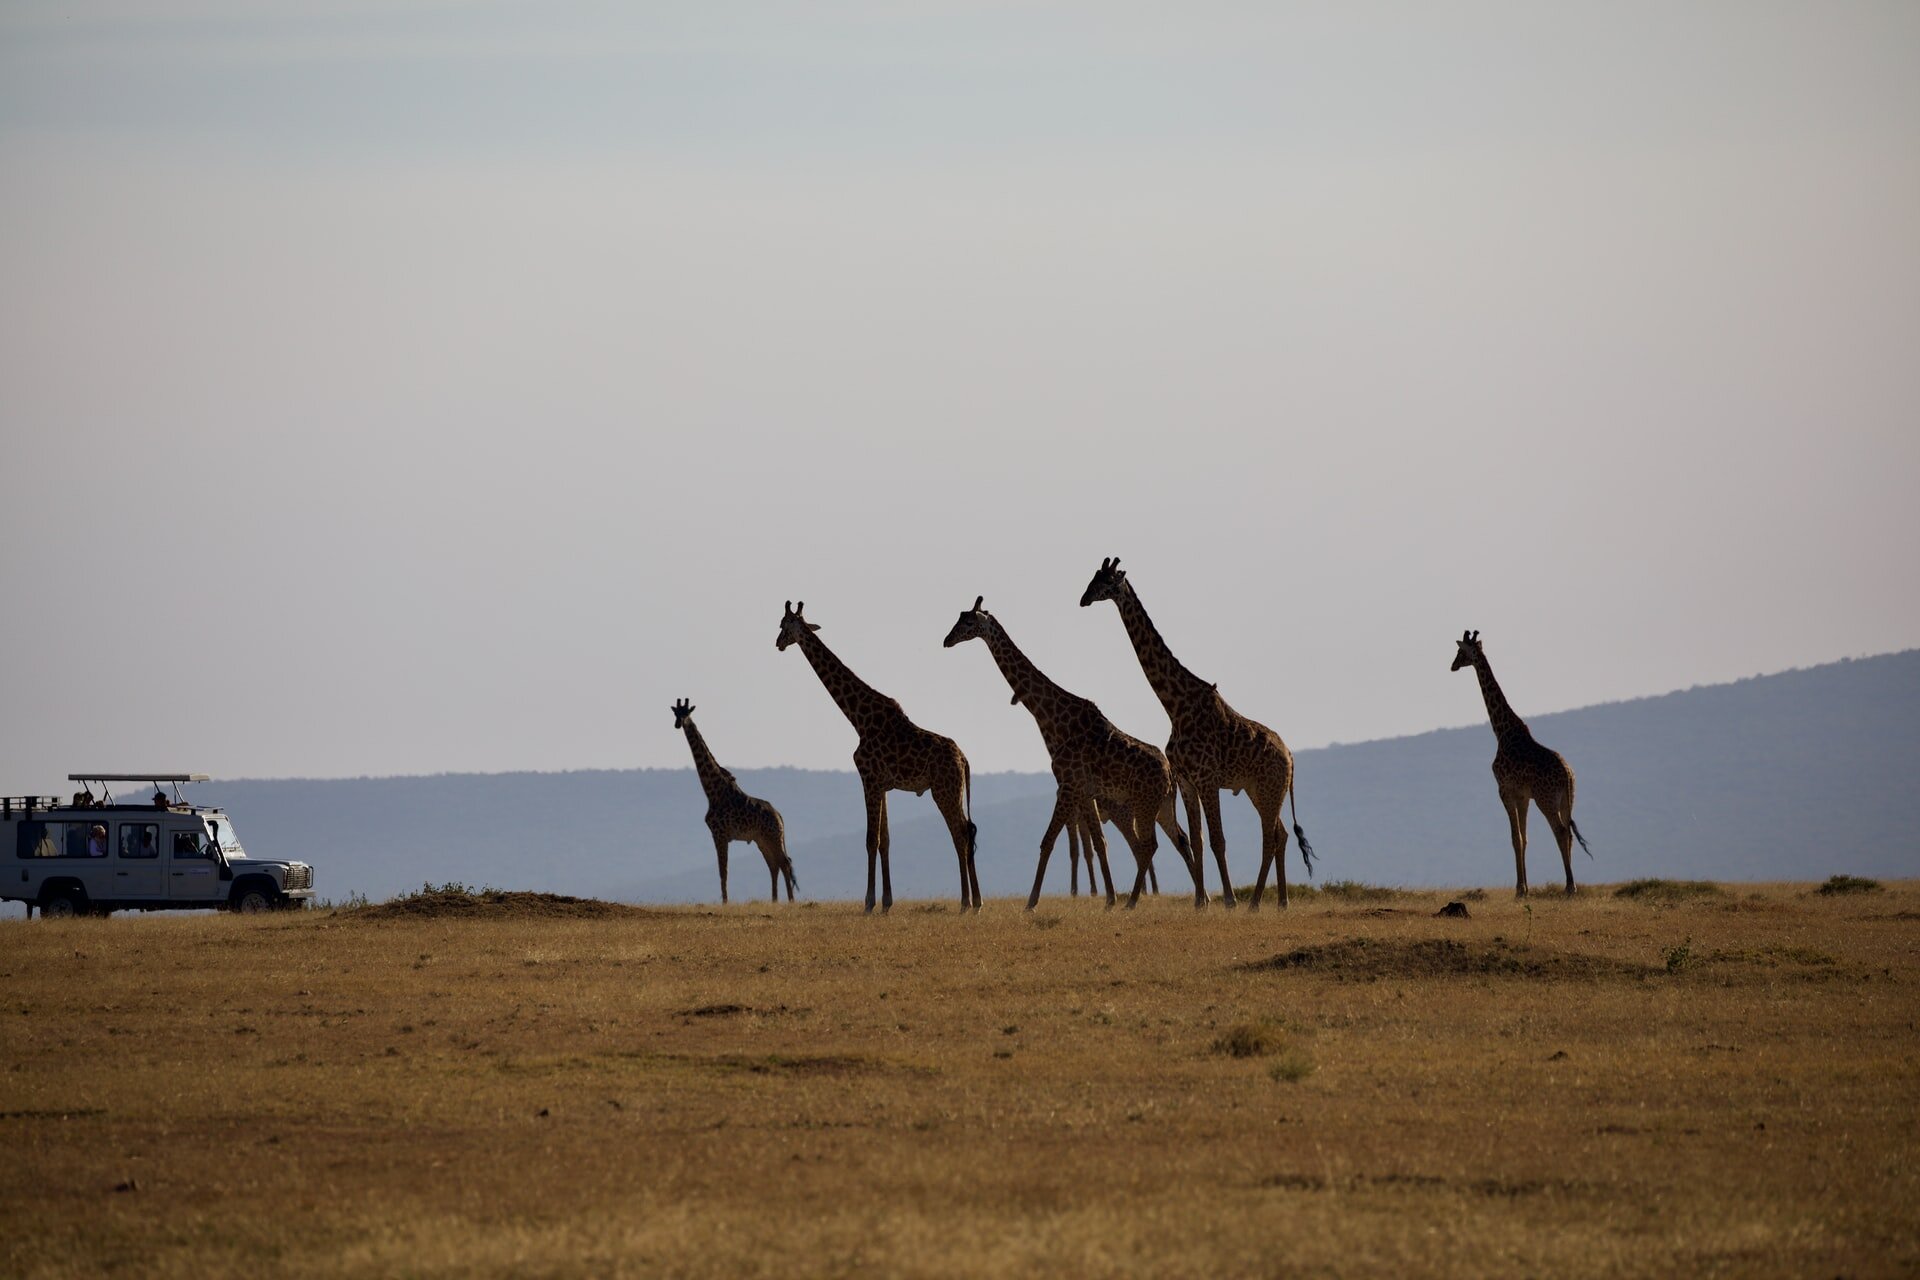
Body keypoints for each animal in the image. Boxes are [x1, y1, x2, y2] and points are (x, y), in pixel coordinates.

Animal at [672, 694, 798, 905]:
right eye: (675, 713)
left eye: (687, 712)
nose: (678, 724)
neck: (712, 791)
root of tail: (779, 816)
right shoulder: (719, 835)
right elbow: (723, 871)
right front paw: (725, 901)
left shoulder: (720, 834)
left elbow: (723, 871)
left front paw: (725, 902)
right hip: (762, 840)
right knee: (774, 865)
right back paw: (774, 900)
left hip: (772, 836)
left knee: (785, 863)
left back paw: (790, 901)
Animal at [775, 602, 983, 909]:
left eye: (783, 624)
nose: (777, 643)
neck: (858, 719)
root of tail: (964, 759)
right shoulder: (883, 785)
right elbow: (885, 840)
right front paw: (886, 902)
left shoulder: (868, 779)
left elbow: (870, 839)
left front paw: (869, 902)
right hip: (953, 789)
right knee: (968, 830)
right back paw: (976, 900)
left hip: (943, 790)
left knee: (960, 834)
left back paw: (968, 902)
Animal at [944, 602, 1198, 909]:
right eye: (959, 618)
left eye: (968, 622)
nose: (946, 640)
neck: (1053, 719)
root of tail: (1170, 772)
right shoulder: (1084, 791)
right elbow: (1099, 843)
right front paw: (1109, 899)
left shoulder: (1068, 785)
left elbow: (1048, 840)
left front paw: (1031, 902)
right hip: (1162, 805)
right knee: (1178, 839)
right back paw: (1201, 898)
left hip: (1144, 804)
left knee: (1149, 846)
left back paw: (1135, 901)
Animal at [1082, 556, 1320, 909]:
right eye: (1092, 578)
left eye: (1107, 581)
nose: (1083, 599)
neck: (1175, 706)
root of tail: (1290, 756)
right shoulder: (1185, 780)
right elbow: (1196, 838)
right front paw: (1199, 902)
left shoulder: (1207, 778)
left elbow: (1218, 839)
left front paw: (1229, 900)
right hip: (1258, 789)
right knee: (1281, 833)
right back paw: (1280, 900)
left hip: (1270, 788)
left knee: (1271, 835)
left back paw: (1254, 901)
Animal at [1443, 633, 1597, 898]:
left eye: (1461, 653)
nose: (1452, 665)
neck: (1502, 731)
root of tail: (1567, 775)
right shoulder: (1523, 796)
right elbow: (1524, 838)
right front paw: (1524, 888)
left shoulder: (1504, 790)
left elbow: (1515, 838)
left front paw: (1519, 890)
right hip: (1568, 799)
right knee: (1568, 832)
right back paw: (1571, 885)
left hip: (1546, 799)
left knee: (1560, 831)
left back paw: (1569, 886)